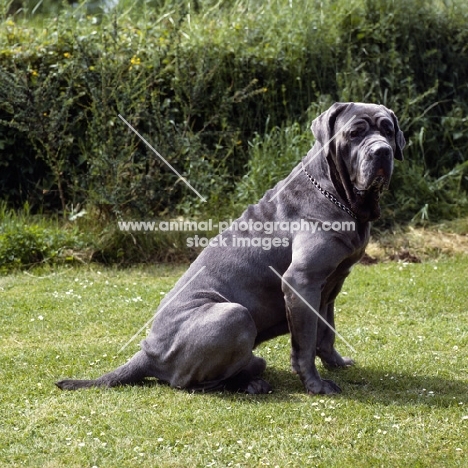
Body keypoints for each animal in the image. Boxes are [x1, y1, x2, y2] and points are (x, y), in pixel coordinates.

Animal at [56, 102, 404, 394]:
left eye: (388, 129)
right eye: (355, 133)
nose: (382, 151)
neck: (337, 193)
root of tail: (147, 351)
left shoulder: (330, 283)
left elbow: (326, 330)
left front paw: (337, 363)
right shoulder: (301, 281)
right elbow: (304, 343)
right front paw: (316, 385)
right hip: (233, 315)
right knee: (190, 383)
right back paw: (250, 383)